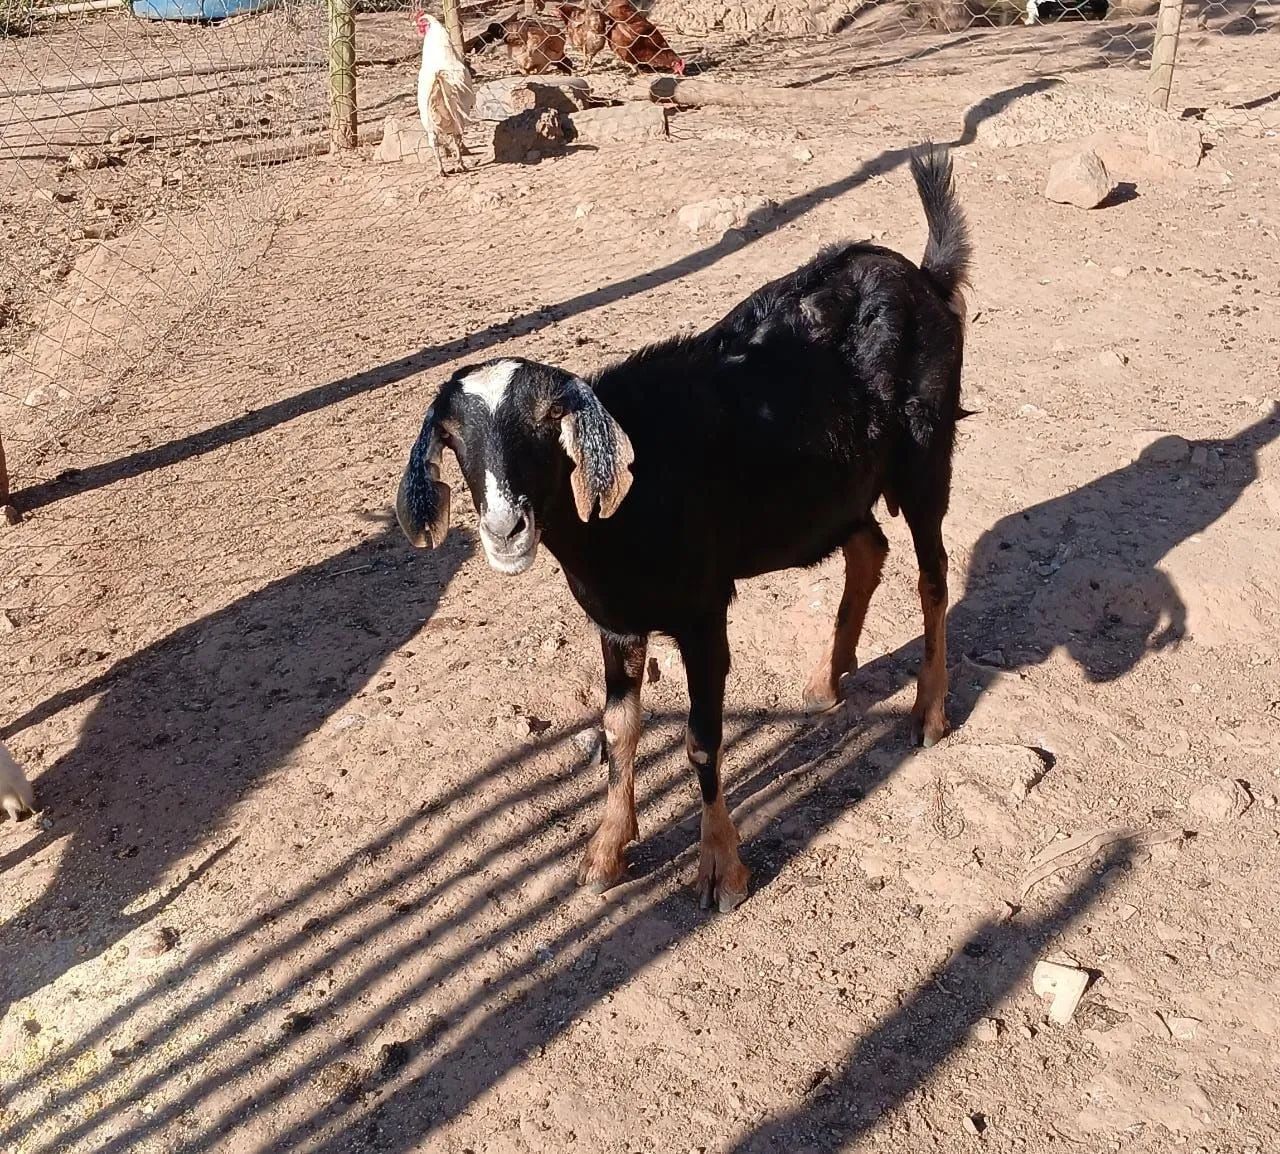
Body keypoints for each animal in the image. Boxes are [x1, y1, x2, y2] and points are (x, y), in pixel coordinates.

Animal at [396, 145, 971, 912]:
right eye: (455, 437)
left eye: (549, 425)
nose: (505, 527)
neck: (621, 523)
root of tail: (924, 276)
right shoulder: (615, 620)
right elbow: (618, 729)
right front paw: (605, 852)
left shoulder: (703, 613)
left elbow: (701, 738)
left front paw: (722, 869)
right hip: (838, 488)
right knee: (867, 547)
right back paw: (827, 678)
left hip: (924, 458)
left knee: (932, 576)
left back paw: (929, 713)